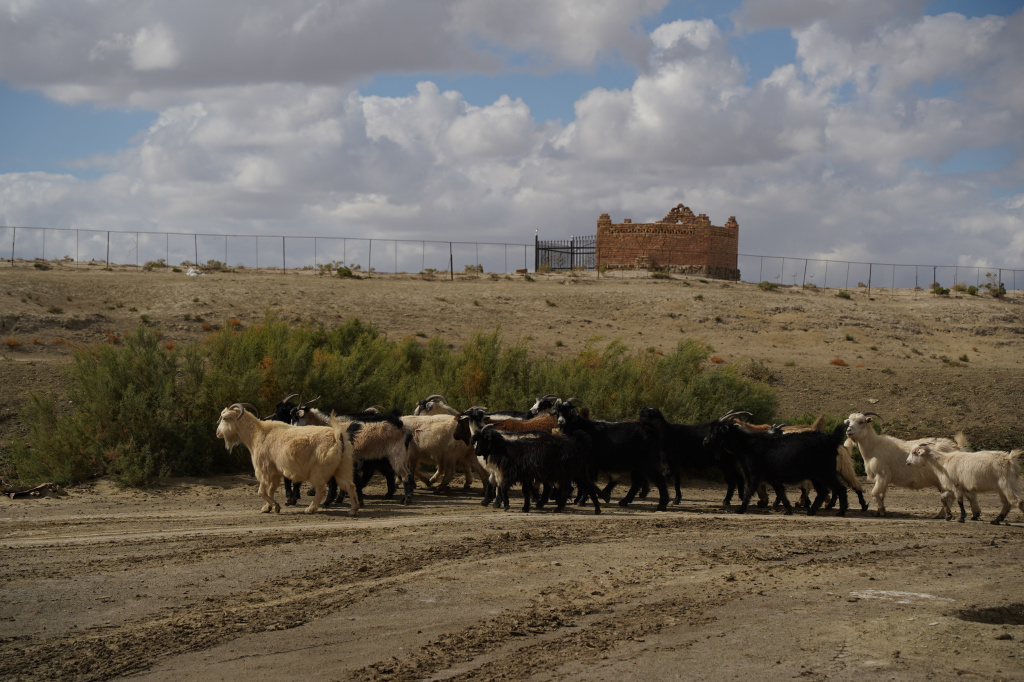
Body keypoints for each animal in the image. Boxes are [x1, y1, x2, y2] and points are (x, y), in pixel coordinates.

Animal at [216, 401, 360, 512]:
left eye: (224, 418)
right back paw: (353, 509)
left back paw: (310, 509)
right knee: (350, 485)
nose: (218, 433)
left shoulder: (264, 469)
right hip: (343, 466)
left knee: (321, 489)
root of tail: (338, 437)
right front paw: (267, 507)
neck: (257, 434)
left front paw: (276, 506)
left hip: (319, 470)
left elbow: (261, 491)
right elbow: (271, 490)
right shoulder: (274, 472)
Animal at [700, 419, 851, 516]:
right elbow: (781, 493)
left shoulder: (754, 474)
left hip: (826, 472)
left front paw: (741, 509)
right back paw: (811, 511)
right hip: (816, 476)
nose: (705, 441)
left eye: (717, 431)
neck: (747, 445)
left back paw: (841, 512)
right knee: (823, 492)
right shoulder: (773, 478)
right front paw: (788, 510)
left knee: (841, 489)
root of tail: (830, 439)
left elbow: (748, 491)